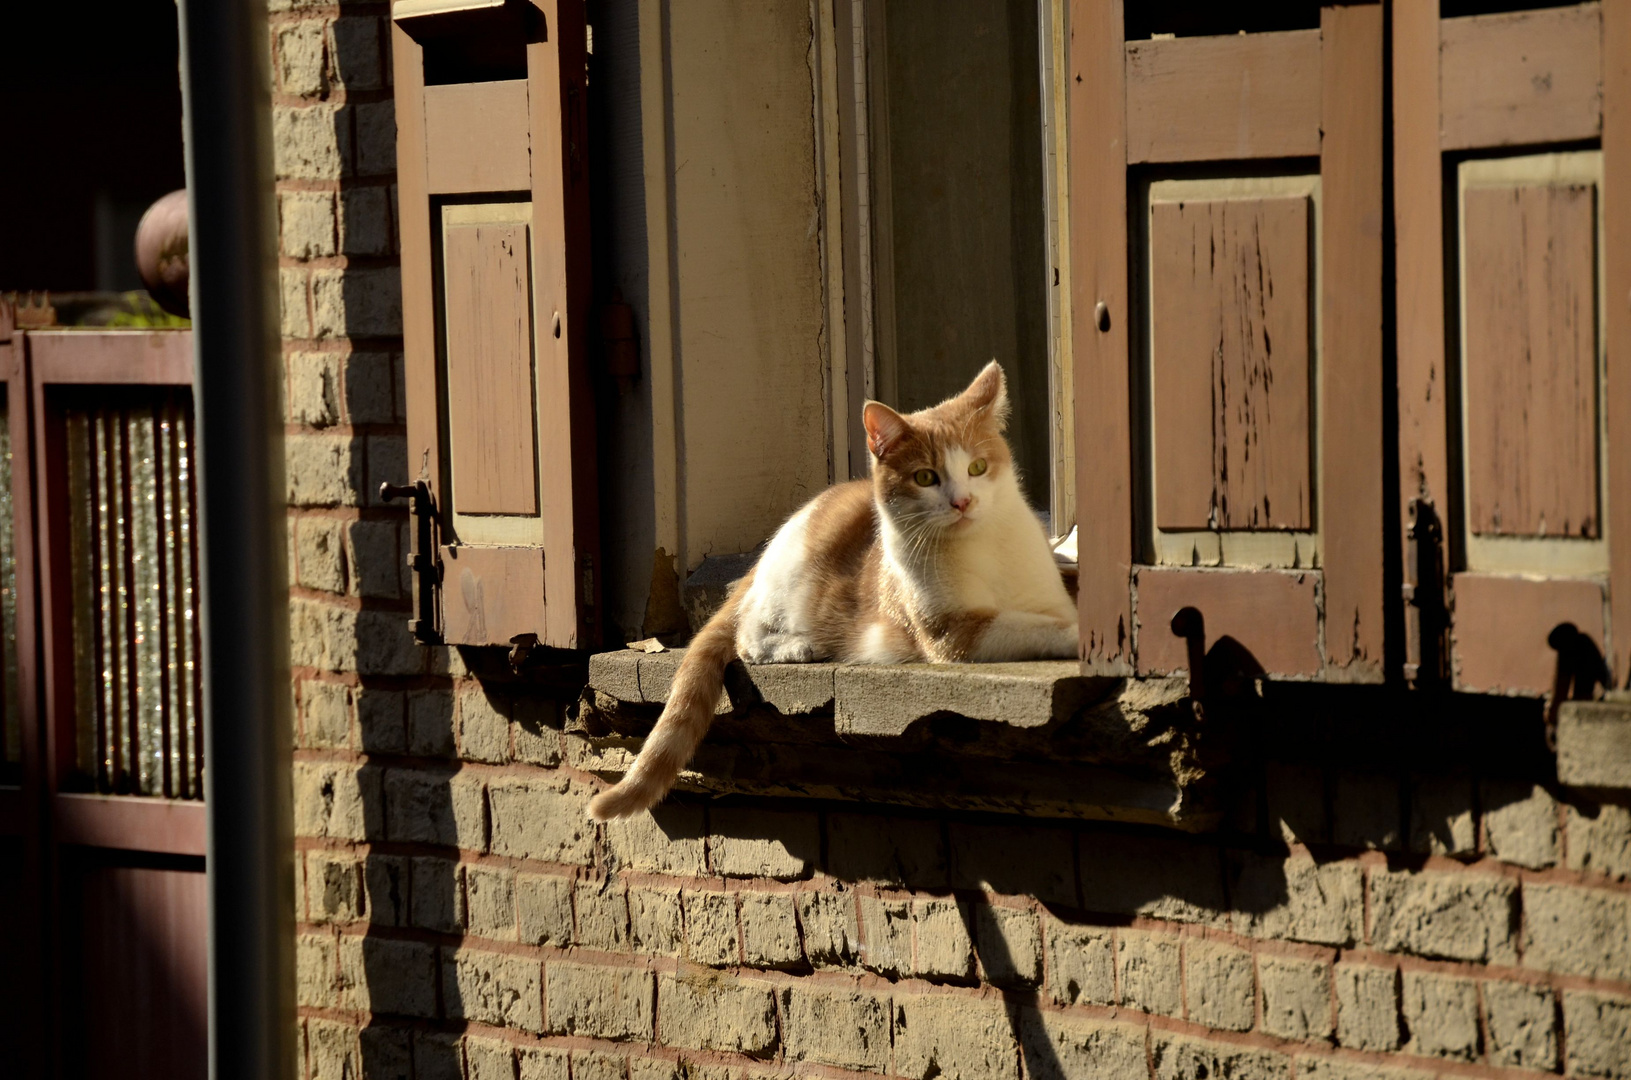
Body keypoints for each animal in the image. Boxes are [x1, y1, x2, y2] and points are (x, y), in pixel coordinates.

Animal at [587, 363, 1069, 822]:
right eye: (925, 477)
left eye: (977, 468)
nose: (963, 503)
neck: (982, 546)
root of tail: (762, 556)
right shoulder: (954, 635)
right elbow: (1035, 627)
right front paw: (1074, 635)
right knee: (746, 636)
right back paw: (800, 647)